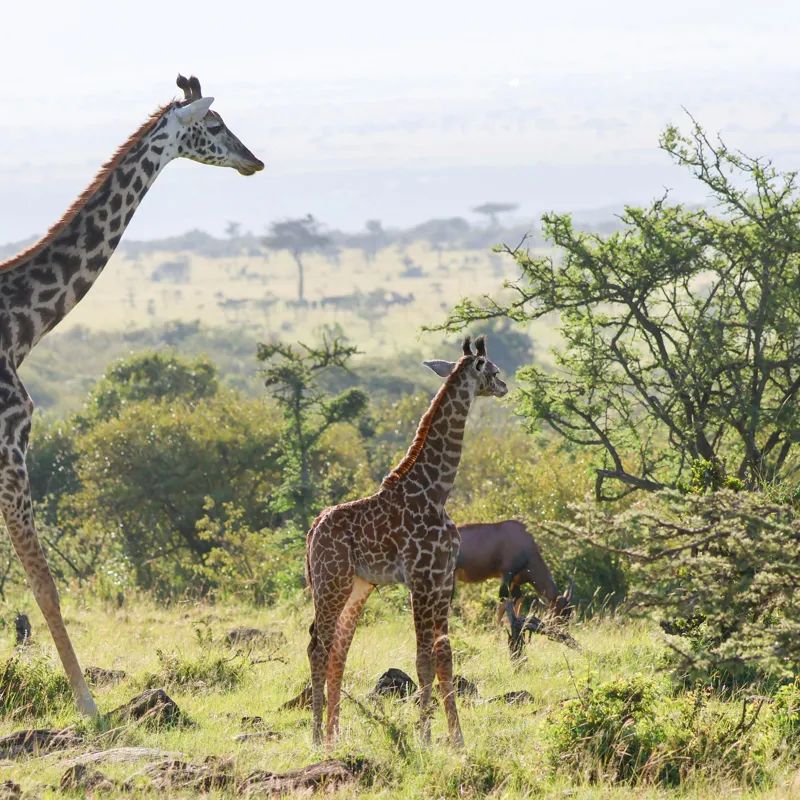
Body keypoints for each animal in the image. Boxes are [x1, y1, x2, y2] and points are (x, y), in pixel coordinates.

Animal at [0, 74, 263, 717]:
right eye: (215, 124)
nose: (255, 160)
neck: (21, 327)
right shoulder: (12, 449)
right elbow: (45, 585)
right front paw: (89, 708)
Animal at [305, 334, 508, 749]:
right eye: (493, 369)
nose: (505, 386)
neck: (437, 490)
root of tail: (313, 528)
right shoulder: (422, 580)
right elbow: (422, 659)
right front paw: (425, 736)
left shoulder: (444, 579)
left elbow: (445, 657)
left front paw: (456, 738)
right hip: (331, 582)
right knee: (319, 647)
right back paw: (317, 737)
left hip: (356, 586)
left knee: (336, 654)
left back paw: (335, 736)